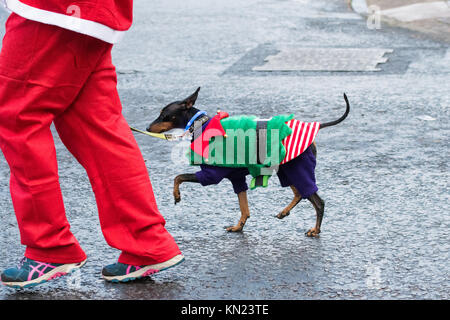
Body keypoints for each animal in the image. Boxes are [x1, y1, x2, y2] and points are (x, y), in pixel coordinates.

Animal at [146, 87, 350, 235]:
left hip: (297, 168)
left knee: (318, 201)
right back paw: (285, 212)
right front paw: (239, 227)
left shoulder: (210, 175)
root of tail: (313, 127)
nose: (147, 127)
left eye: (164, 115)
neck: (202, 125)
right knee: (300, 193)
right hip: (286, 169)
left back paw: (315, 230)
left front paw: (176, 195)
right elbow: (244, 208)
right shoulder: (236, 178)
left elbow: (178, 177)